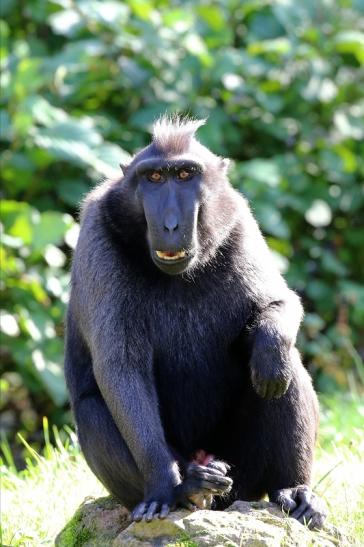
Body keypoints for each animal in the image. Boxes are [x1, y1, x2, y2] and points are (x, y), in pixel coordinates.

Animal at [64, 117, 328, 528]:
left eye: (186, 174)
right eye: (154, 177)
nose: (171, 225)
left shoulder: (238, 220)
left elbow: (280, 302)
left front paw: (270, 345)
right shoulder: (96, 234)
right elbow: (121, 366)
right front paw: (163, 484)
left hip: (244, 478)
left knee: (284, 368)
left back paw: (293, 490)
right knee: (93, 409)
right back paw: (190, 487)